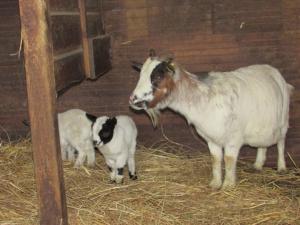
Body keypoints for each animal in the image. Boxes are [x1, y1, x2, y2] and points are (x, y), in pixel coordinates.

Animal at [129, 49, 292, 190]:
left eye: (158, 77)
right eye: (140, 75)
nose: (132, 100)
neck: (202, 99)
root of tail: (272, 70)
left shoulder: (233, 139)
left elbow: (229, 160)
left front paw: (228, 185)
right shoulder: (211, 138)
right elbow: (216, 159)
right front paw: (215, 183)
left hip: (283, 120)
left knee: (281, 142)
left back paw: (282, 167)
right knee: (263, 144)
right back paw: (258, 165)